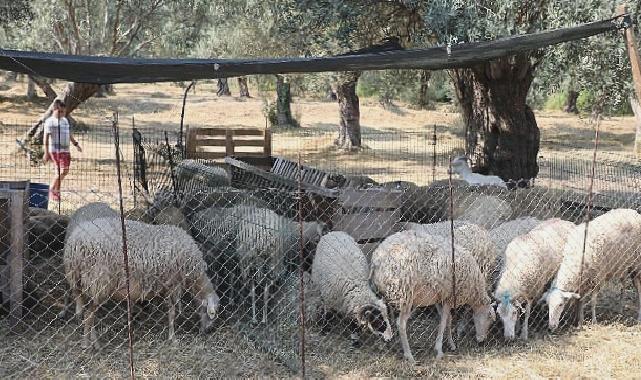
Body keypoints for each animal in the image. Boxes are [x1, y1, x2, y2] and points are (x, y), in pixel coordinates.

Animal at [63, 215, 220, 348]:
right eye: (211, 313)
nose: (209, 331)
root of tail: (75, 243)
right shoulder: (173, 284)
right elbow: (172, 312)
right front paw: (173, 338)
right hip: (98, 282)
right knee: (89, 316)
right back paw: (87, 344)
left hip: (85, 284)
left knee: (88, 314)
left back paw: (95, 343)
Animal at [370, 229, 496, 362]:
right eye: (489, 318)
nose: (482, 341)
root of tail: (376, 259)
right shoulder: (449, 298)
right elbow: (444, 321)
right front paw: (439, 350)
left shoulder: (441, 298)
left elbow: (448, 319)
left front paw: (451, 344)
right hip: (404, 293)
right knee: (401, 323)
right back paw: (409, 355)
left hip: (388, 291)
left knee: (383, 309)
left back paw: (390, 338)